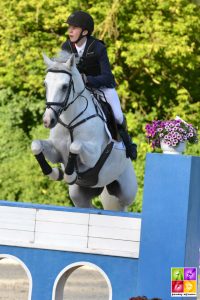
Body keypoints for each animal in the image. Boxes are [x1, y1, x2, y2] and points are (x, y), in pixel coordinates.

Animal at [31, 52, 138, 211]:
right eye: (45, 84)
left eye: (65, 86)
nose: (48, 120)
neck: (70, 123)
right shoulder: (56, 151)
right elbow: (36, 145)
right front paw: (55, 173)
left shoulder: (93, 155)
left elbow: (75, 146)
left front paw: (69, 176)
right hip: (80, 195)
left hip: (126, 191)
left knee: (123, 205)